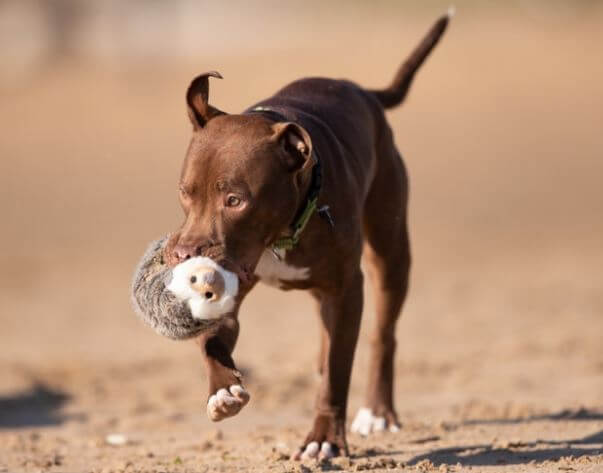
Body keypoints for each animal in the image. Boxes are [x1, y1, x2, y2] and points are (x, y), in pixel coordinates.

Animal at [163, 11, 450, 460]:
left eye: (235, 200)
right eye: (185, 191)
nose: (184, 254)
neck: (279, 236)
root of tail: (365, 93)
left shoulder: (348, 289)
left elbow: (338, 372)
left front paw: (324, 439)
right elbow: (212, 340)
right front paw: (223, 390)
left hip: (390, 253)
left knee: (383, 335)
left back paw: (378, 412)